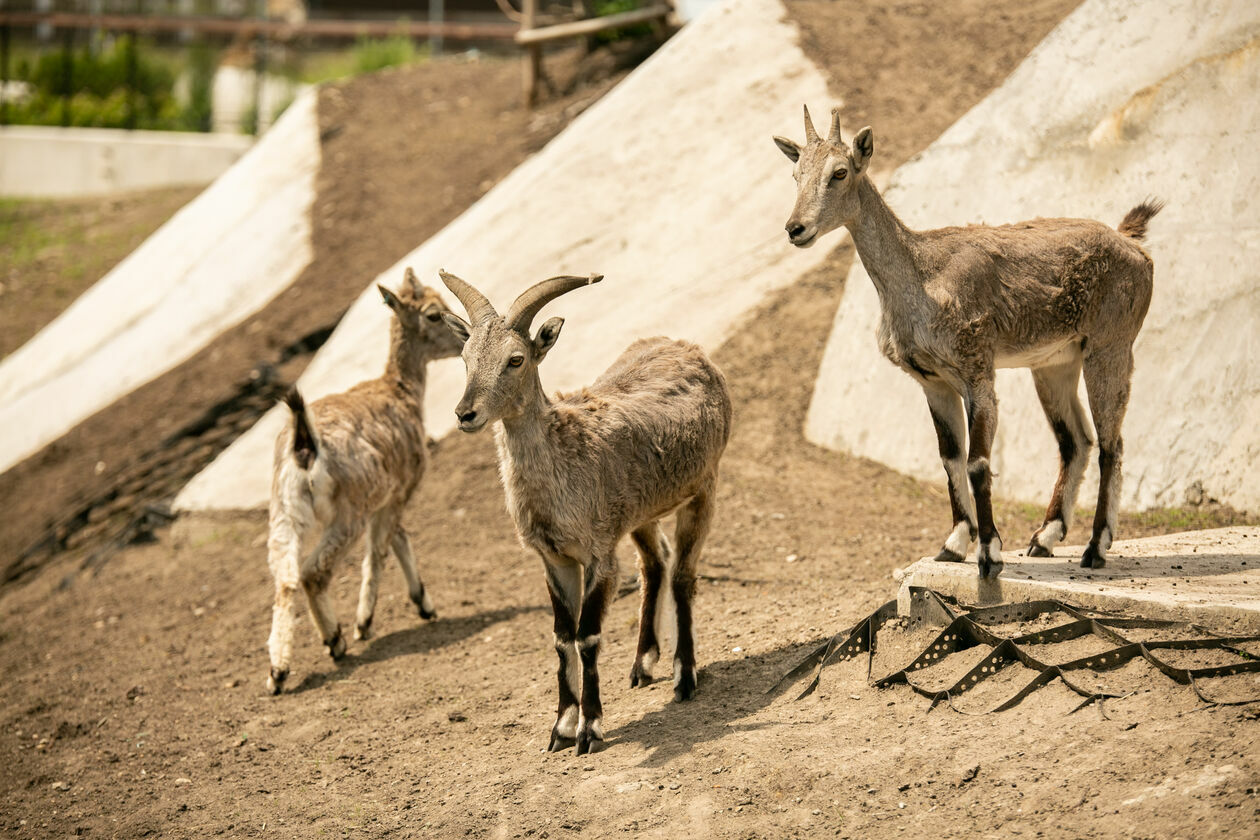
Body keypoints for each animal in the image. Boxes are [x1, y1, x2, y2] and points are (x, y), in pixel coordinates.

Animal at [263, 270, 466, 695]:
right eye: (433, 313)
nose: (466, 338)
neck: (402, 391)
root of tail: (303, 444)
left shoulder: (387, 498)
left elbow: (398, 538)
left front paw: (424, 603)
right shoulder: (400, 487)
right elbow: (380, 550)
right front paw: (365, 624)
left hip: (282, 512)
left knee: (285, 577)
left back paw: (277, 673)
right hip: (348, 510)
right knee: (313, 571)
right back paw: (335, 640)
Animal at [441, 269, 730, 755]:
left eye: (516, 359)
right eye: (464, 357)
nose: (466, 413)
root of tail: (687, 348)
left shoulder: (598, 554)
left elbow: (588, 636)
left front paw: (589, 729)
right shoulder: (555, 559)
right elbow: (562, 638)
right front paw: (560, 727)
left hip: (702, 489)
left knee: (683, 574)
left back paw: (684, 675)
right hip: (640, 512)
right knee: (655, 564)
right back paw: (642, 663)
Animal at [771, 105, 1164, 574]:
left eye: (840, 172)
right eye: (796, 174)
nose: (796, 228)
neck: (921, 277)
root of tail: (1133, 243)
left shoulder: (977, 373)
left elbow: (978, 462)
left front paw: (989, 552)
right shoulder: (933, 382)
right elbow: (949, 458)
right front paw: (954, 544)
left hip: (1111, 346)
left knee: (1111, 444)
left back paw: (1095, 548)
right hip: (1055, 363)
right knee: (1077, 441)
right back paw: (1044, 538)